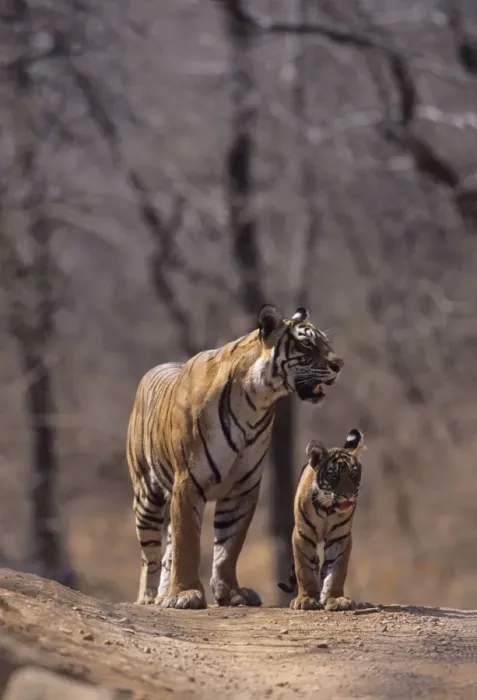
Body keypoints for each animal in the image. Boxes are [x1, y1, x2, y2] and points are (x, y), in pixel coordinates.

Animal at [126, 304, 344, 610]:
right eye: (306, 344)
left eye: (326, 343)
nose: (340, 364)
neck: (257, 400)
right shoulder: (188, 482)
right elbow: (187, 542)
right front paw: (186, 594)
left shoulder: (242, 487)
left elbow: (228, 546)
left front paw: (230, 593)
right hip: (147, 495)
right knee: (151, 555)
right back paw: (148, 597)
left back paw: (162, 595)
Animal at [277, 428, 366, 611]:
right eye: (333, 475)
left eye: (353, 473)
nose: (349, 495)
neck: (327, 509)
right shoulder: (301, 535)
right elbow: (304, 569)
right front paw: (306, 599)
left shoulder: (340, 538)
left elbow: (337, 570)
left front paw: (336, 599)